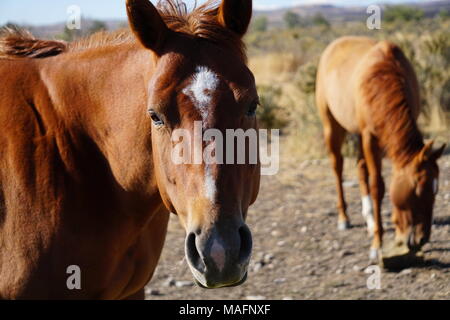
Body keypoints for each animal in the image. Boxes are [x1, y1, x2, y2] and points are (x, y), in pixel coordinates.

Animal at [316, 36, 446, 262]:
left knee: (360, 168)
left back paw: (368, 219)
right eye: (418, 189)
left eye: (436, 191)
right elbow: (378, 186)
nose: (422, 238)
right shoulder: (370, 139)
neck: (382, 78)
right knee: (337, 167)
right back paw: (344, 217)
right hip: (331, 126)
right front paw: (377, 244)